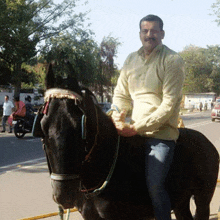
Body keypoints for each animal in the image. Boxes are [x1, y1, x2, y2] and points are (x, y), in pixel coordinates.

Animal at [35, 64, 218, 219]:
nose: (63, 194)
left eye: (80, 127)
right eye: (43, 127)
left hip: (202, 199)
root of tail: (206, 142)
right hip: (181, 202)